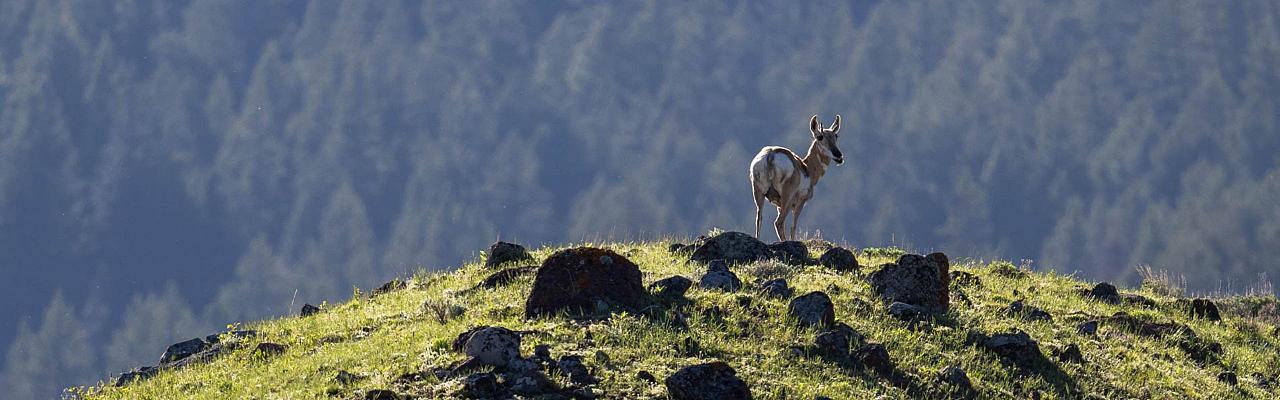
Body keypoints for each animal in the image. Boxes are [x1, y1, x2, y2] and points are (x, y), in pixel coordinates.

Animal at [747, 114, 844, 242]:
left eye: (836, 136)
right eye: (820, 137)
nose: (839, 156)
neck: (808, 168)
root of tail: (770, 155)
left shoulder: (778, 206)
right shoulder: (800, 203)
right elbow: (793, 227)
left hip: (759, 193)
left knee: (759, 219)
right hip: (786, 198)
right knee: (779, 222)